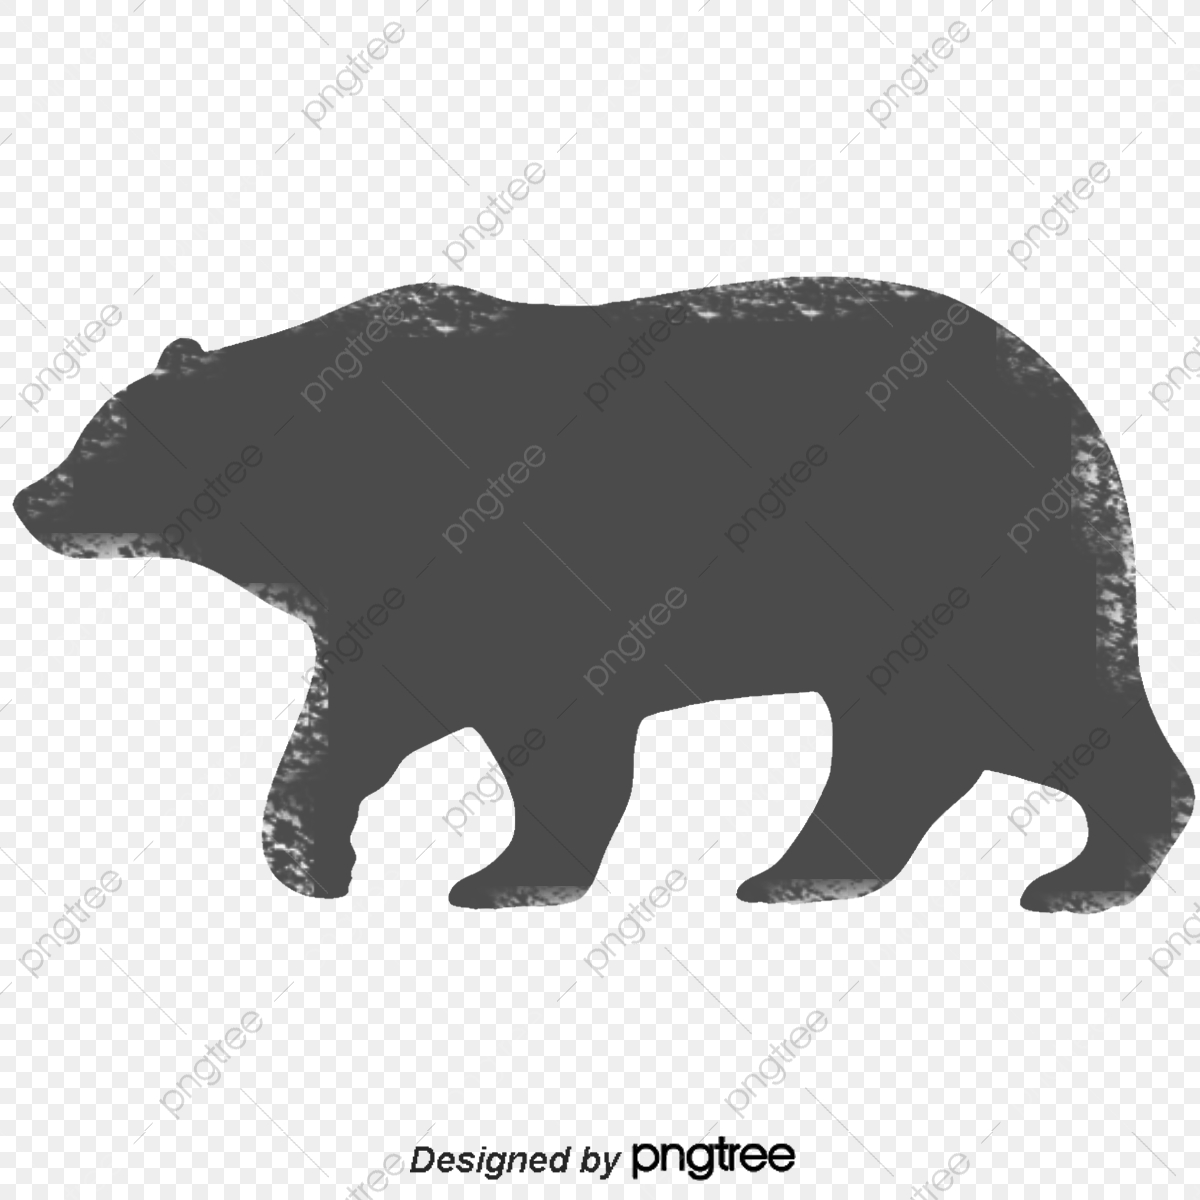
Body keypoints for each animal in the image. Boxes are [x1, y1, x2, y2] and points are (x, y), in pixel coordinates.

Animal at [13, 277, 1192, 912]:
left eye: (103, 439)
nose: (29, 497)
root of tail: (1079, 418)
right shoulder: (393, 608)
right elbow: (359, 718)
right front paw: (312, 855)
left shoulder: (511, 564)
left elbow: (557, 739)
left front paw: (500, 878)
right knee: (901, 740)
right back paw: (801, 873)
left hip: (963, 556)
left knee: (1044, 702)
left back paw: (1083, 877)